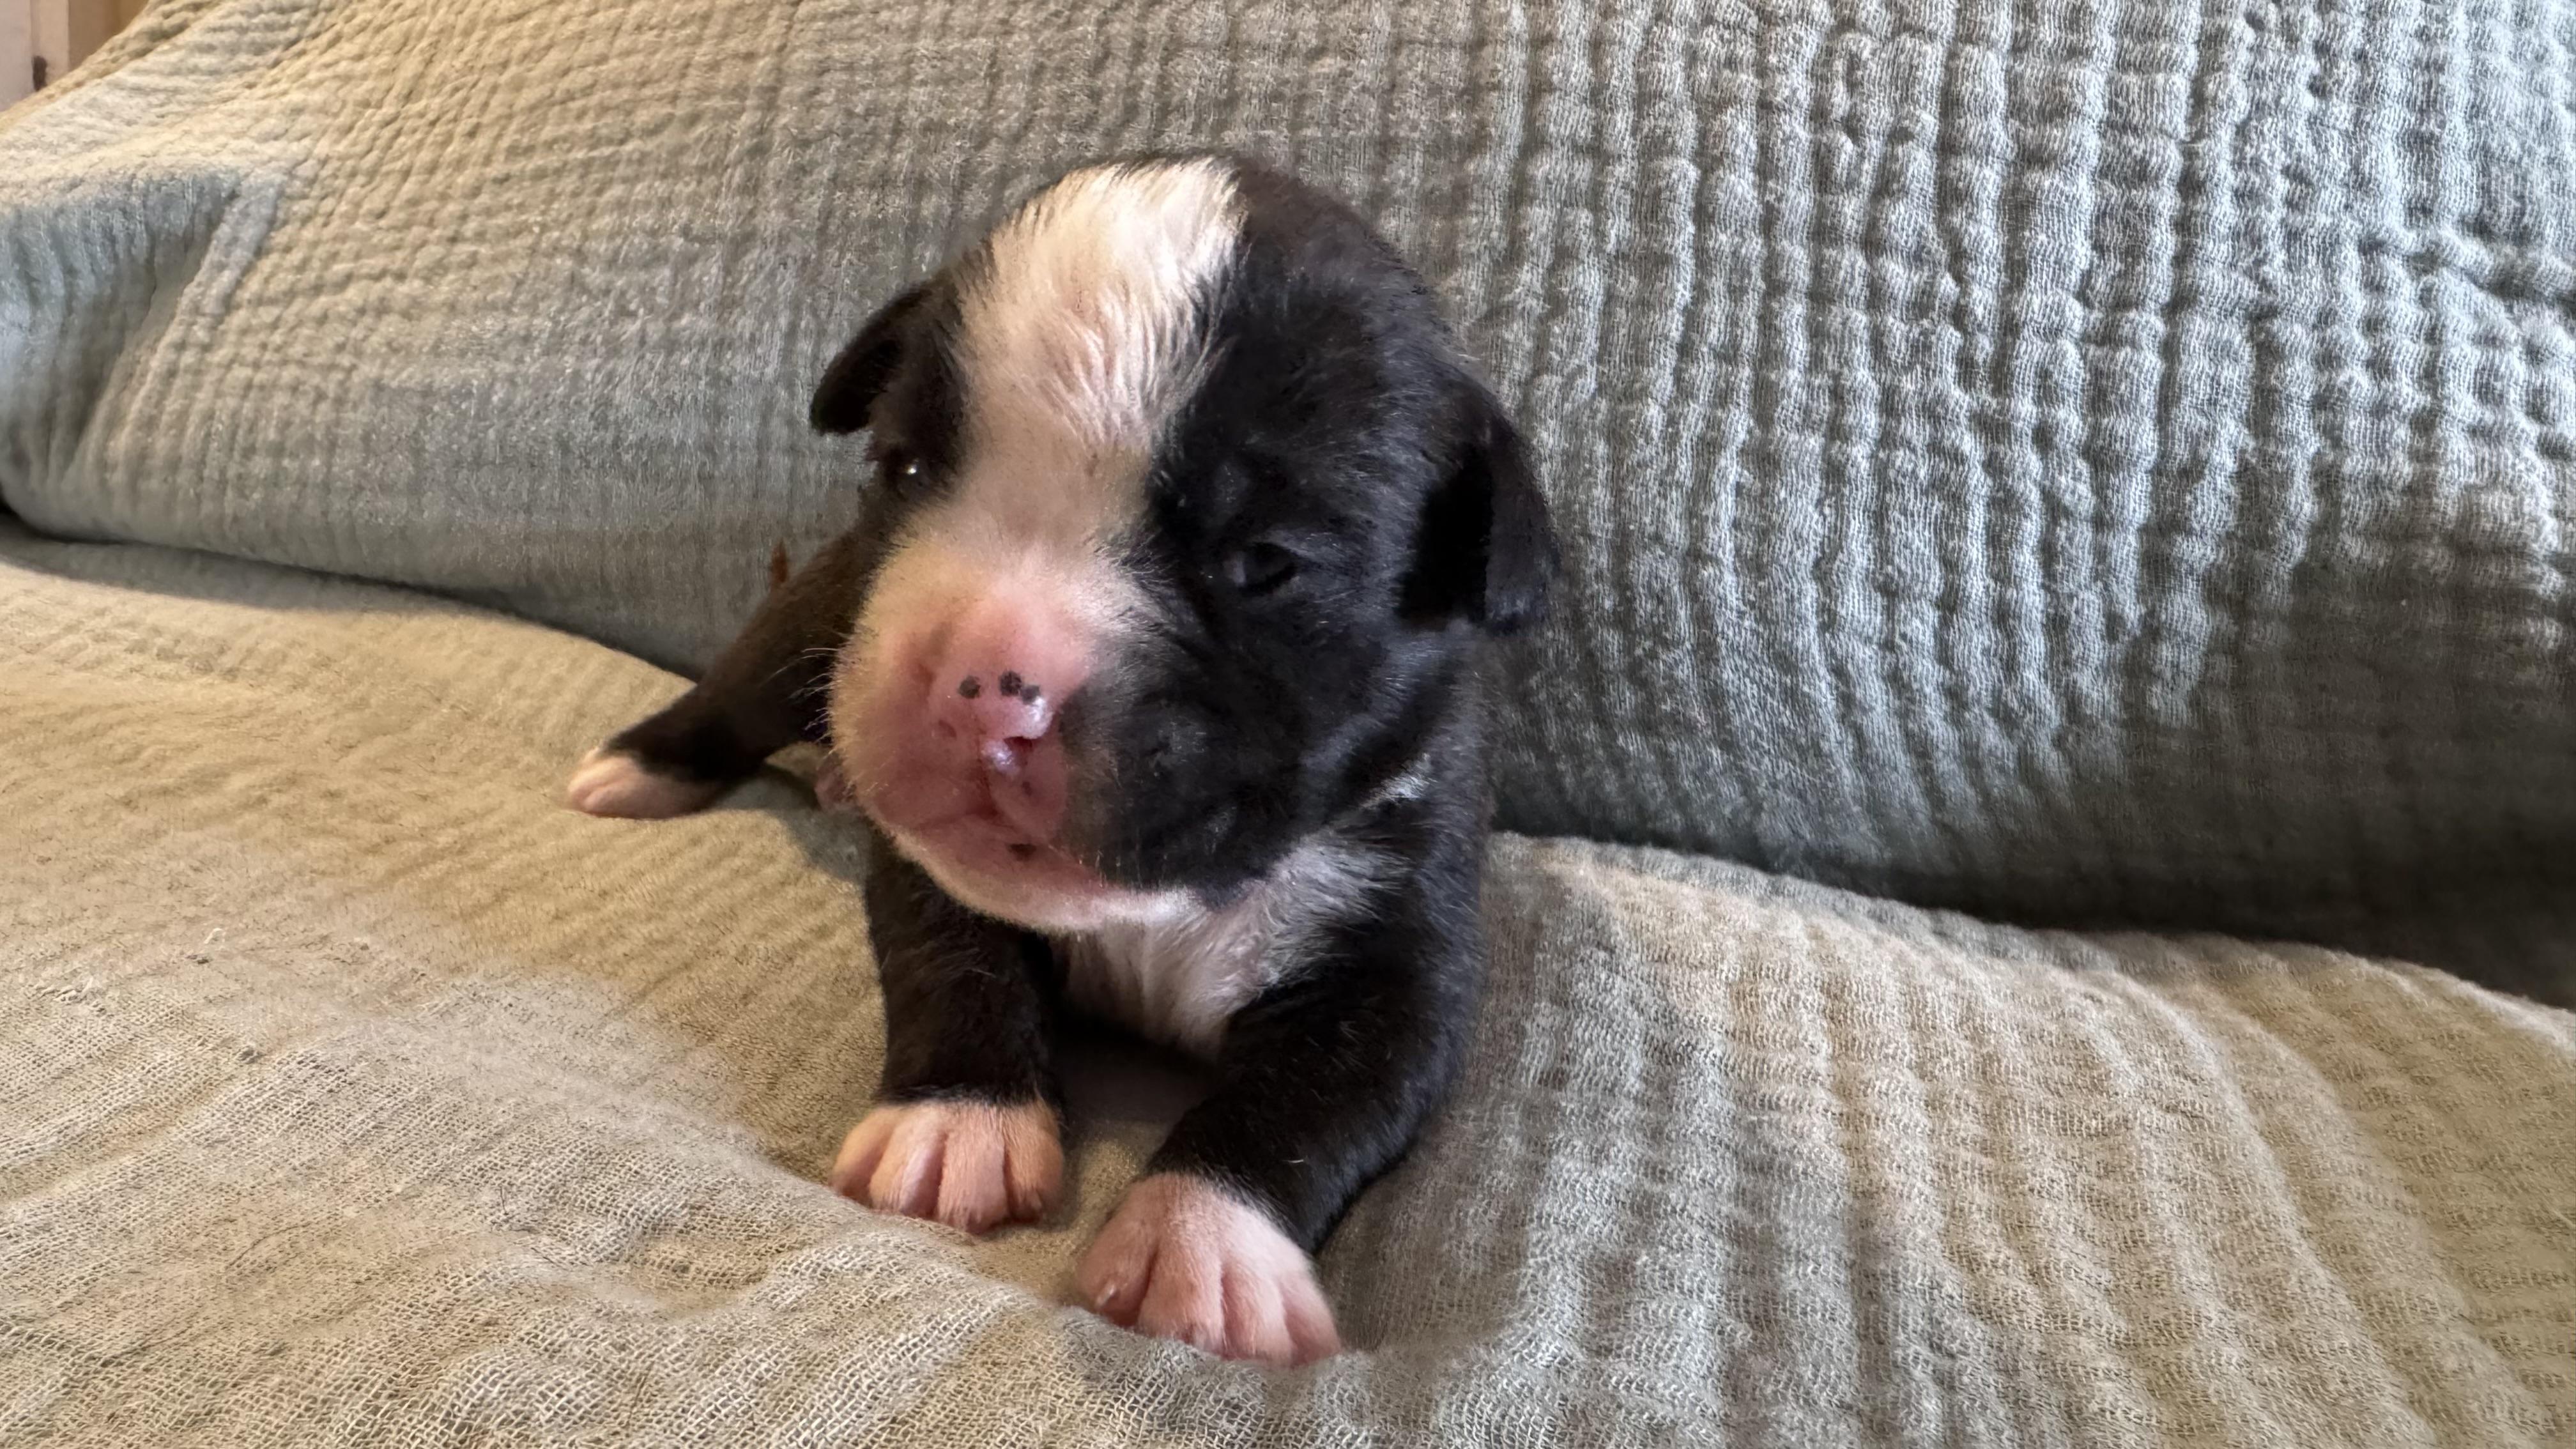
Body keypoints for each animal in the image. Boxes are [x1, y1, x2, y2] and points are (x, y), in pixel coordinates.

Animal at [565, 153, 1556, 1364]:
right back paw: (637, 766)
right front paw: (958, 1120)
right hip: (818, 619)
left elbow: (1308, 1098)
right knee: (736, 690)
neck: (1155, 905)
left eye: (1267, 562)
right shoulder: (935, 869)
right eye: (903, 469)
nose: (981, 684)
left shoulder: (1396, 958)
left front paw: (1203, 1240)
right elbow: (954, 962)